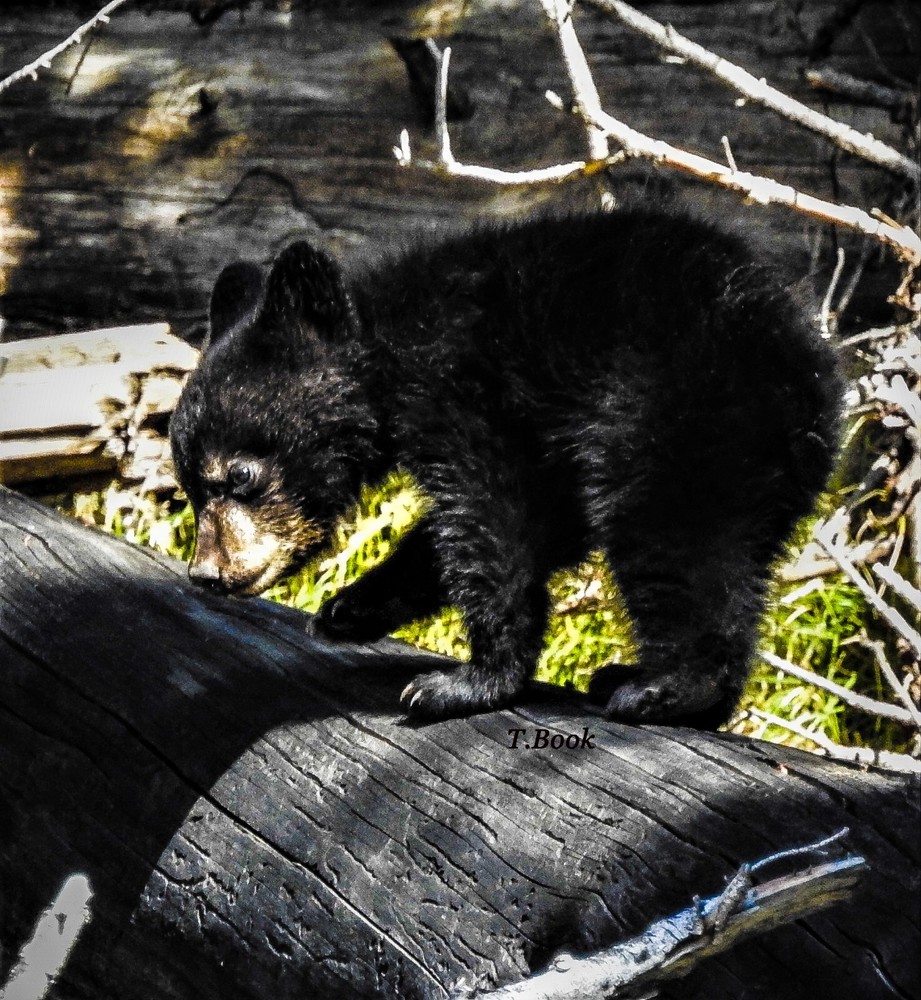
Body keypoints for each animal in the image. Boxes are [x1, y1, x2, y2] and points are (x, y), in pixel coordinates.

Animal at [169, 209, 842, 727]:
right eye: (189, 486)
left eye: (239, 475)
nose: (207, 573)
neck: (387, 351)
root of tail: (806, 367)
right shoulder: (547, 447)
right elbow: (534, 523)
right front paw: (351, 608)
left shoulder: (463, 396)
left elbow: (489, 516)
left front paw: (466, 683)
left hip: (676, 413)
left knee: (671, 536)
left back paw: (666, 688)